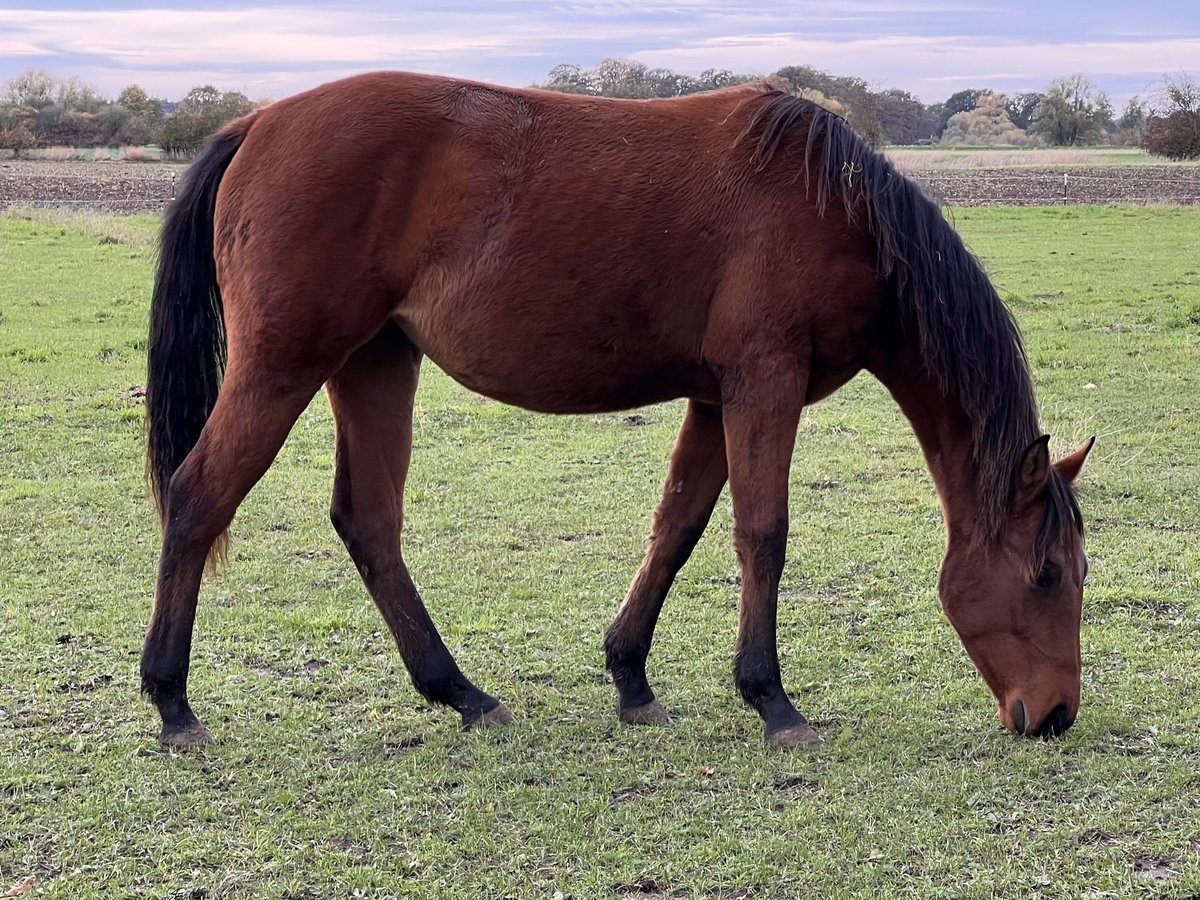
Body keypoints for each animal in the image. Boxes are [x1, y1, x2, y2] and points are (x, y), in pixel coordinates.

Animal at [142, 71, 1093, 750]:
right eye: (1047, 575)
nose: (1055, 716)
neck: (838, 211)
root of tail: (258, 123)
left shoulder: (715, 398)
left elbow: (676, 529)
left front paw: (632, 680)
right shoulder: (764, 382)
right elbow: (762, 535)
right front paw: (772, 701)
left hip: (374, 363)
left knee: (368, 523)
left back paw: (461, 693)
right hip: (282, 368)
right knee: (199, 498)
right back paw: (172, 702)